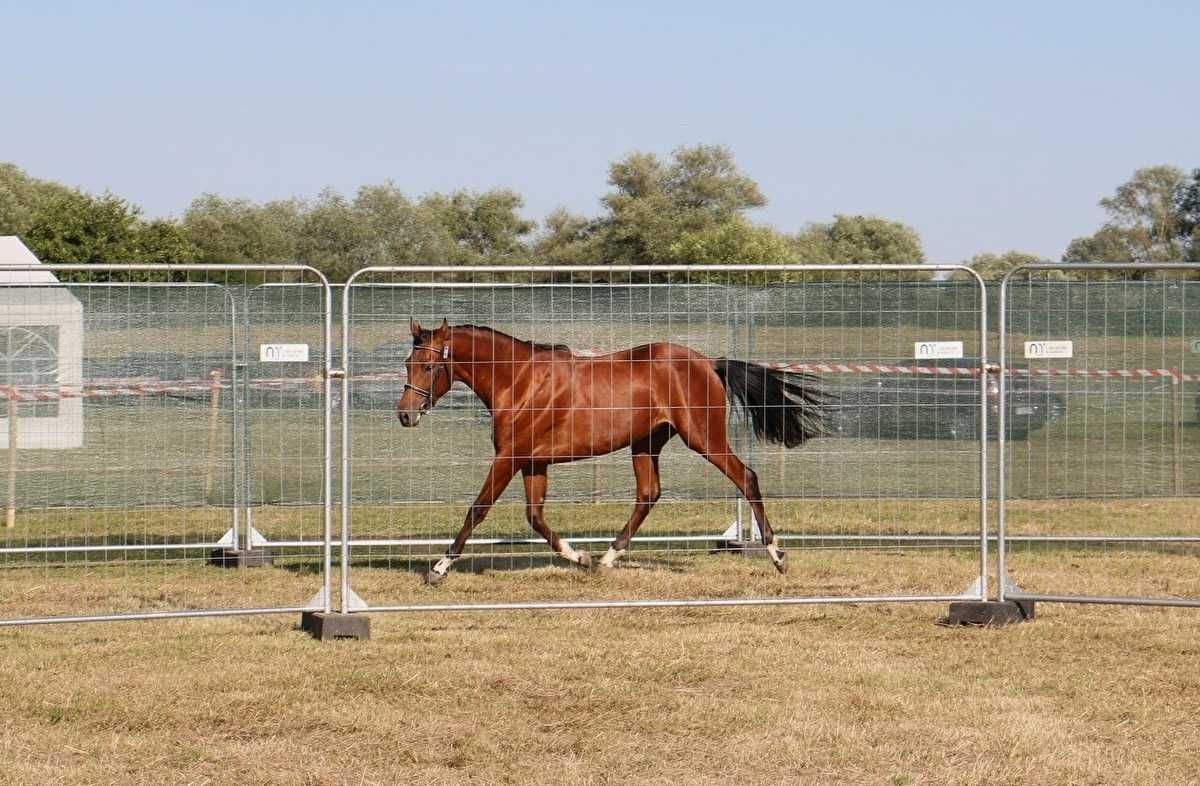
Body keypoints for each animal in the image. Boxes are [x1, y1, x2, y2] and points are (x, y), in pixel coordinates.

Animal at [398, 319, 830, 583]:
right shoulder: (533, 463)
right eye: (407, 363)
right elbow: (535, 517)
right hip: (645, 444)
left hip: (703, 438)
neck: (520, 381)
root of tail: (709, 363)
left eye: (429, 367)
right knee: (648, 495)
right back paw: (606, 558)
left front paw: (438, 568)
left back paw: (777, 556)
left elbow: (478, 509)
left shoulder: (509, 458)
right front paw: (581, 558)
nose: (405, 415)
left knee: (746, 477)